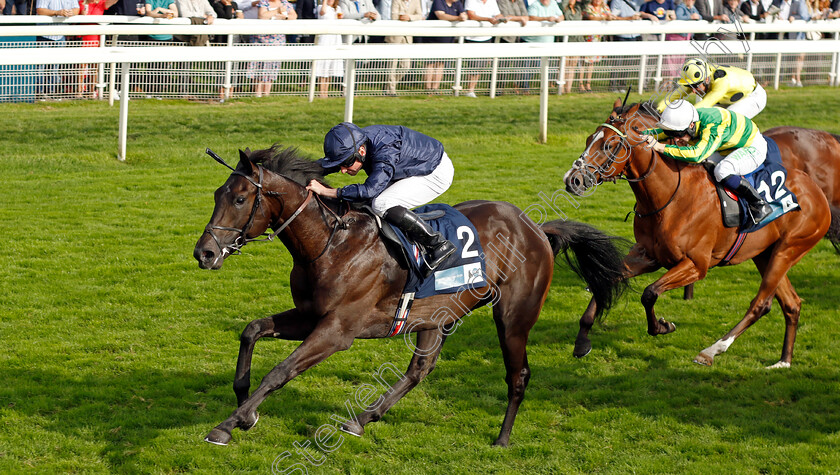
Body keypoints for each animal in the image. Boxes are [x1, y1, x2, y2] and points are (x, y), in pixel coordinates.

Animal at [194, 144, 628, 446]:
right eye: (215, 194)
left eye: (239, 199)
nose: (205, 253)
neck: (331, 243)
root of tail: (536, 228)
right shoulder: (310, 315)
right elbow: (251, 330)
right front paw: (243, 406)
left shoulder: (338, 330)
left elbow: (281, 371)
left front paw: (228, 425)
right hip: (437, 314)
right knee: (420, 370)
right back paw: (360, 420)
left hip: (513, 317)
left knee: (517, 374)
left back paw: (503, 438)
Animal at [560, 99, 832, 368]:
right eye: (589, 138)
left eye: (609, 144)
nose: (573, 180)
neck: (670, 197)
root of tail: (816, 190)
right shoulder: (648, 255)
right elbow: (606, 280)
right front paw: (582, 342)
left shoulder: (696, 264)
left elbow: (650, 293)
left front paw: (662, 326)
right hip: (764, 254)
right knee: (791, 303)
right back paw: (784, 361)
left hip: (788, 249)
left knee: (761, 303)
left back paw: (711, 351)